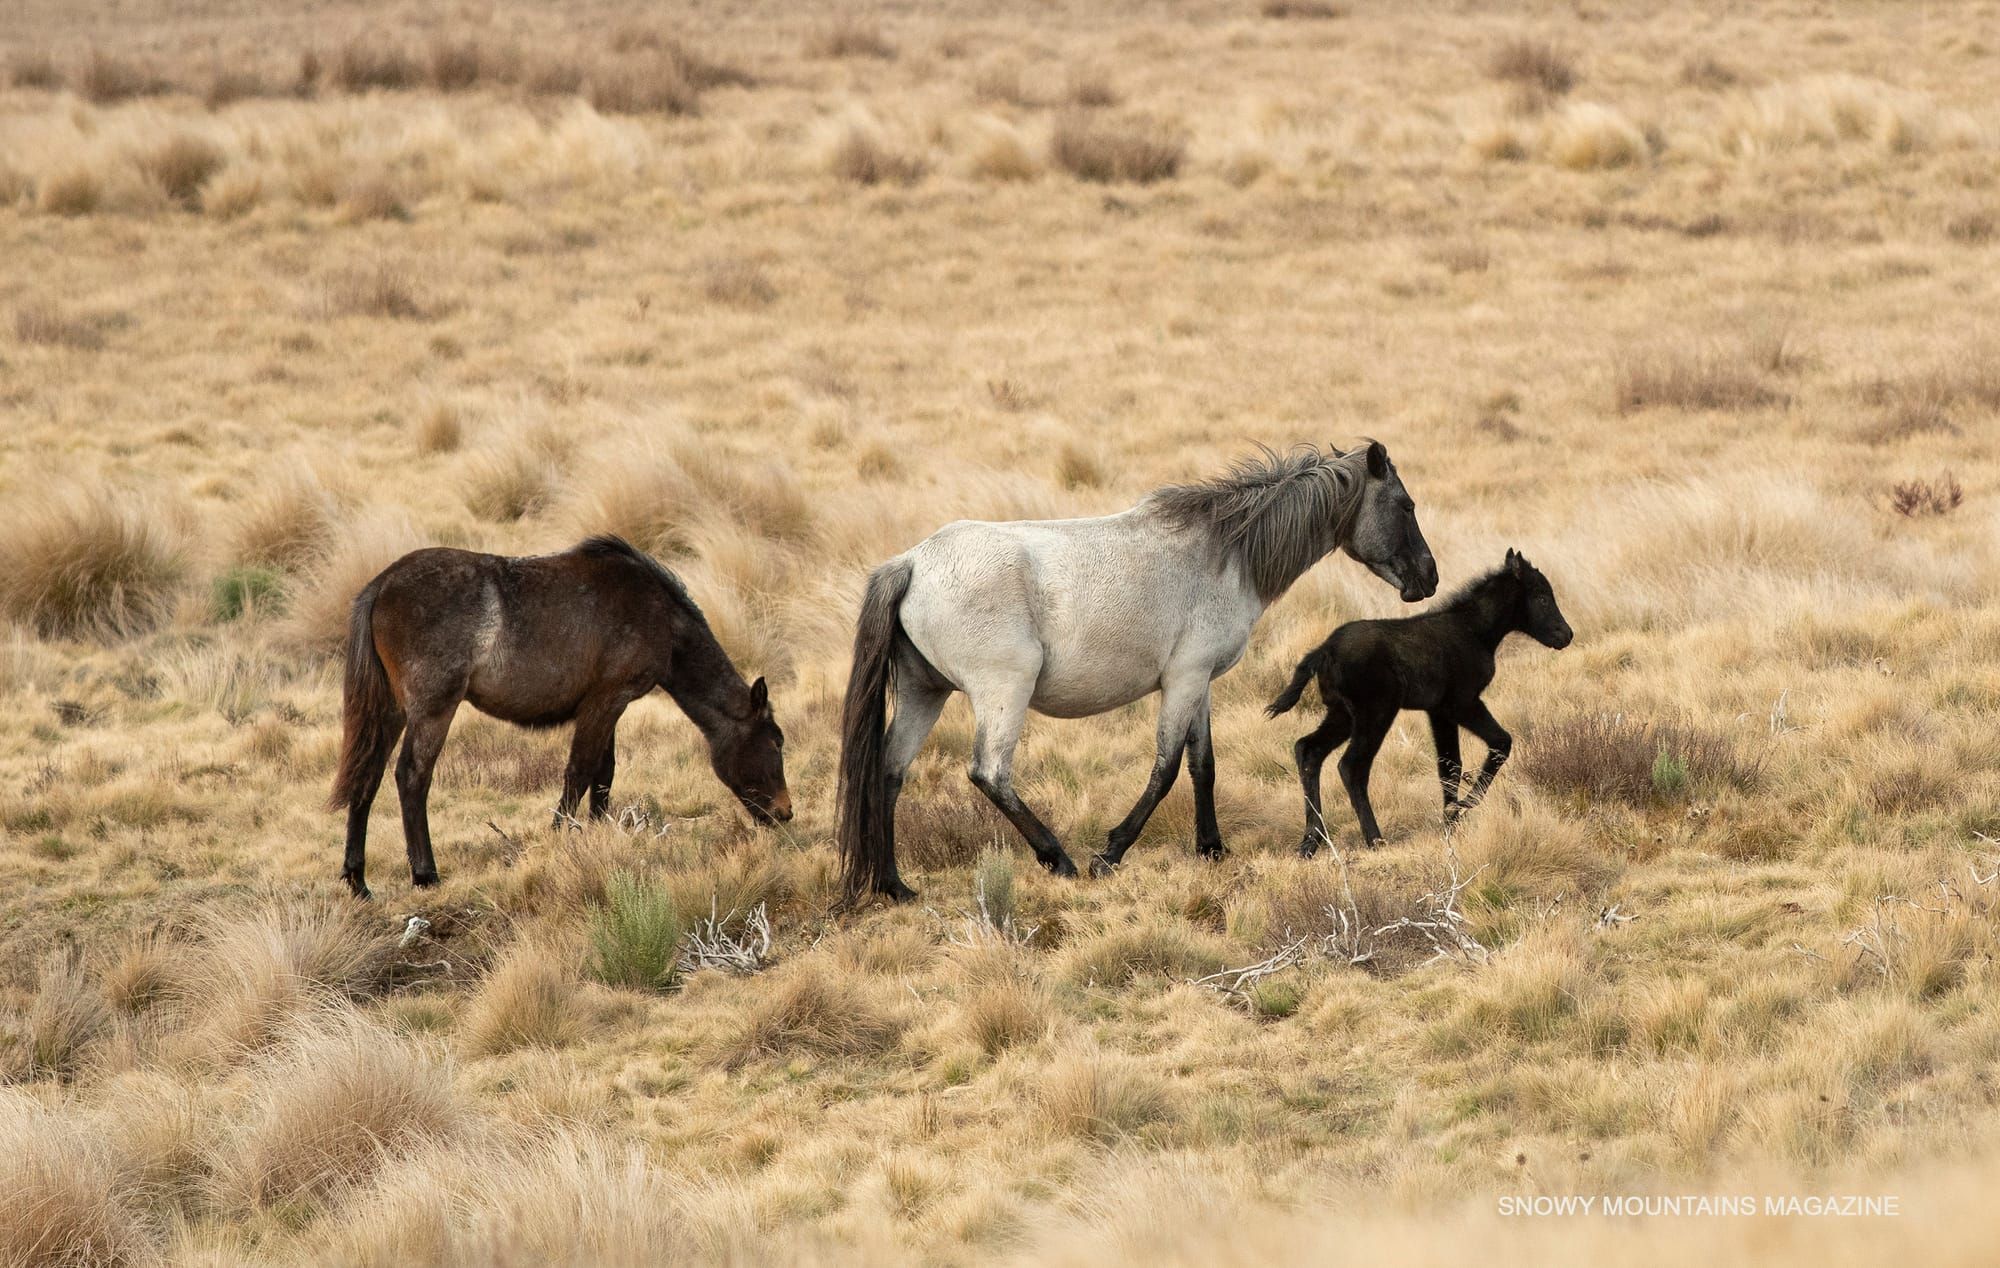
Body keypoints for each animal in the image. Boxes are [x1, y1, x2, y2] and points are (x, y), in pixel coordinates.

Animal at [327, 535, 791, 898]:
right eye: (776, 741)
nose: (784, 812)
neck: (658, 613)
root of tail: (381, 585)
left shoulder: (609, 706)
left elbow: (604, 773)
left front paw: (600, 832)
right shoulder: (607, 700)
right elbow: (580, 771)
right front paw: (560, 839)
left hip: (391, 711)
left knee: (367, 777)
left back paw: (358, 880)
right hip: (433, 709)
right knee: (412, 776)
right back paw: (425, 874)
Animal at [836, 441, 1438, 901]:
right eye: (1406, 505)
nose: (1428, 579)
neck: (1224, 552)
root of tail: (912, 563)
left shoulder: (1199, 684)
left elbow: (1202, 766)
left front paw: (1212, 849)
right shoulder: (1184, 680)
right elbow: (1166, 769)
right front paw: (1112, 852)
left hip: (925, 692)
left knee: (888, 773)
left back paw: (895, 886)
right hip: (1003, 690)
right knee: (989, 773)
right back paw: (1058, 859)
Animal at [1266, 548, 1572, 854]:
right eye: (1542, 597)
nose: (1566, 635)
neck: (1472, 630)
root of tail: (1324, 651)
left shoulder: (1439, 712)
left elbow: (1450, 766)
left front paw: (1451, 822)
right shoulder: (1462, 703)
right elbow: (1500, 742)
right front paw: (1465, 804)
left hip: (1341, 714)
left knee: (1309, 750)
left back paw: (1311, 840)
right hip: (1375, 714)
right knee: (1351, 766)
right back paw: (1374, 839)